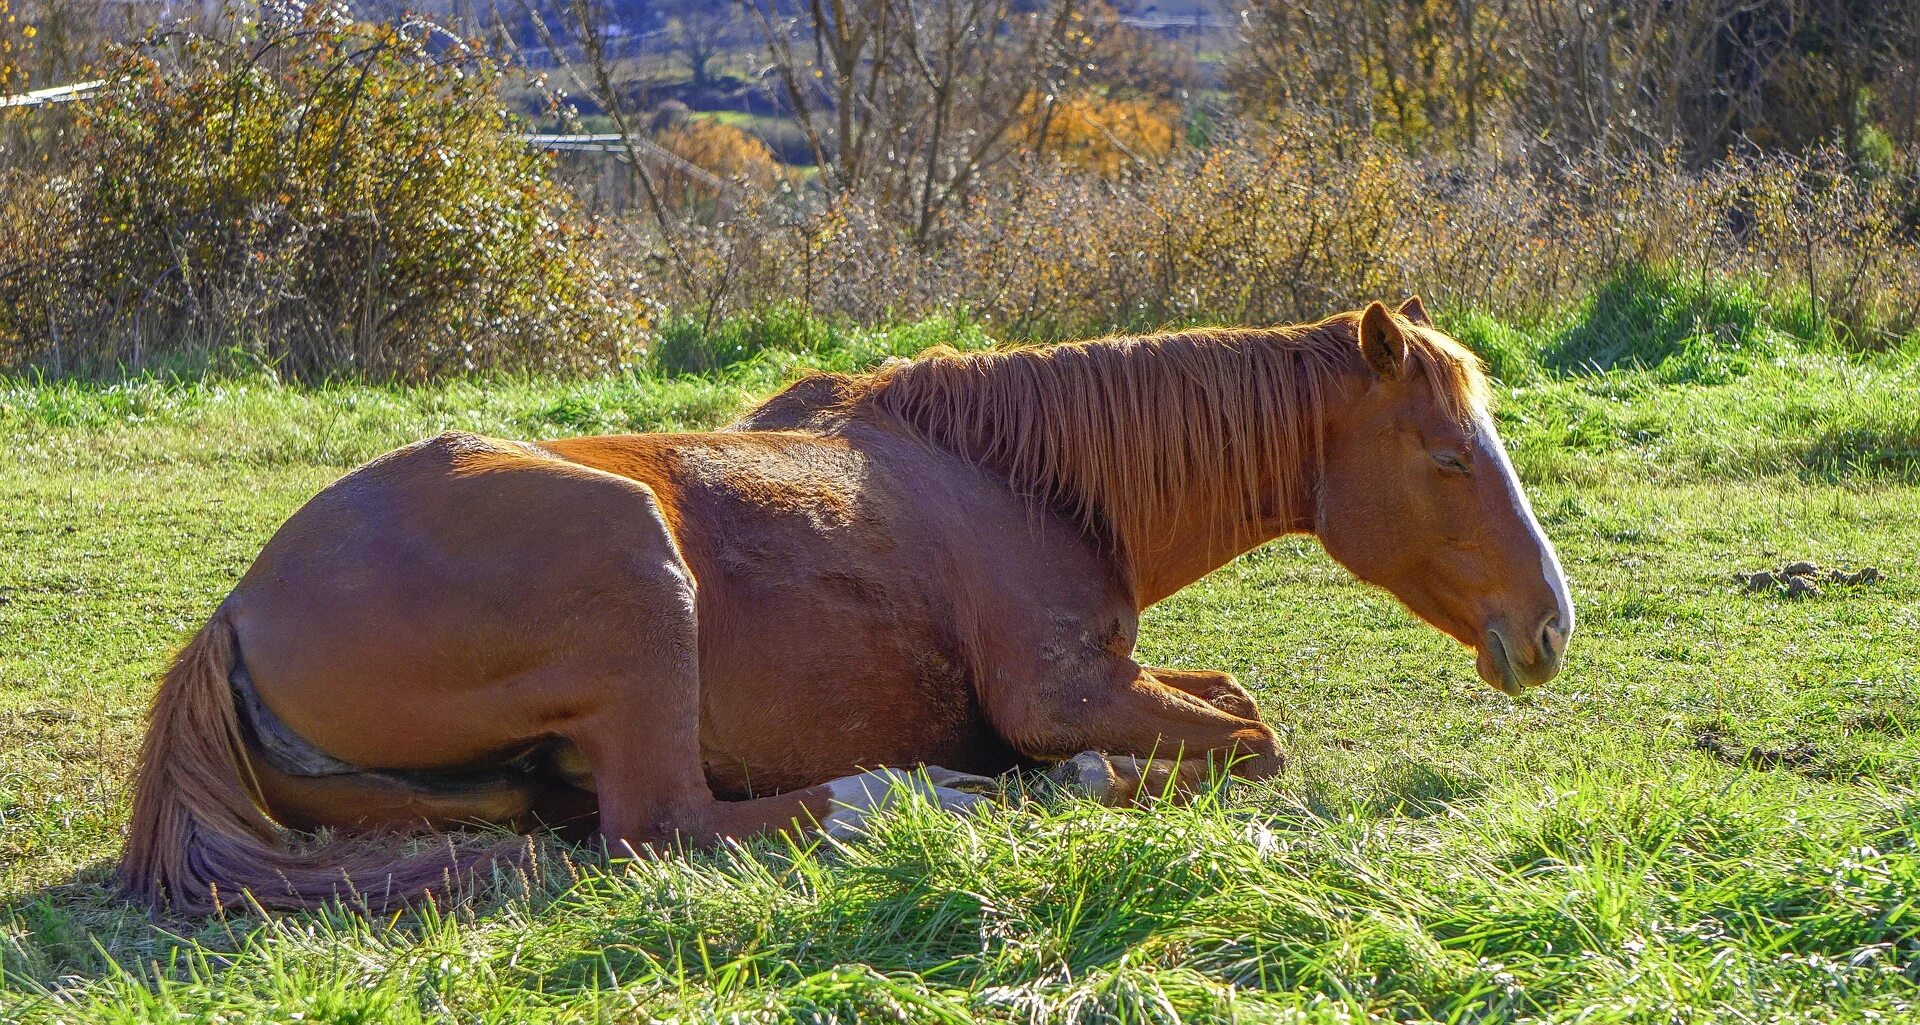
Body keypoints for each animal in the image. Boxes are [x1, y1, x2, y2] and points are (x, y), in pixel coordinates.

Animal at [116, 299, 1574, 917]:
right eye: (1450, 457)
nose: (1549, 626)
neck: (1020, 478)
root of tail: (238, 611)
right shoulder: (1066, 693)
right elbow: (1252, 735)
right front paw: (1068, 784)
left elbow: (1234, 704)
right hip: (636, 575)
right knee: (668, 827)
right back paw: (922, 796)